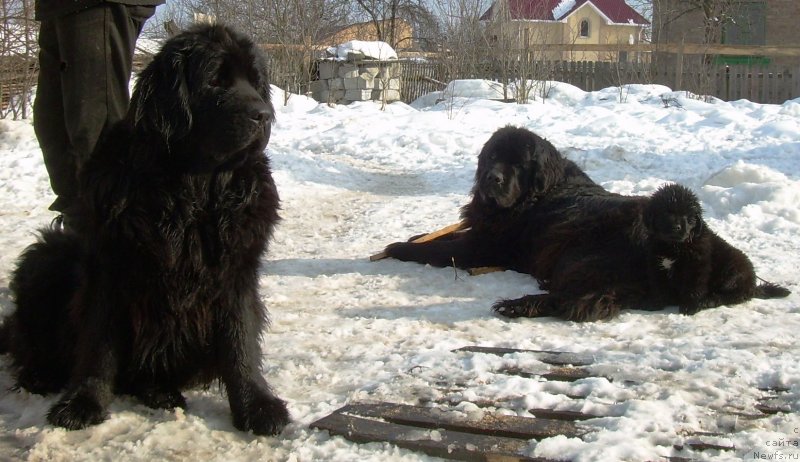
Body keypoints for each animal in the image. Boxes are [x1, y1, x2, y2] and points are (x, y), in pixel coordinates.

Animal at [0, 23, 290, 434]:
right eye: (215, 81)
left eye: (256, 82)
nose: (263, 115)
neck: (192, 189)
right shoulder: (110, 268)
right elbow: (98, 344)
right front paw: (83, 402)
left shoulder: (235, 271)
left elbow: (240, 340)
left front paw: (256, 405)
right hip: (48, 256)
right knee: (28, 338)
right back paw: (41, 375)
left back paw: (158, 391)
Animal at [640, 183, 792, 314]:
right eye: (666, 213)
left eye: (688, 217)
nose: (677, 227)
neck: (673, 246)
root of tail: (752, 285)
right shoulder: (656, 263)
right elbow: (658, 285)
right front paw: (655, 303)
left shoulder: (696, 265)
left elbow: (694, 286)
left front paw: (690, 306)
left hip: (733, 270)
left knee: (734, 295)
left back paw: (709, 300)